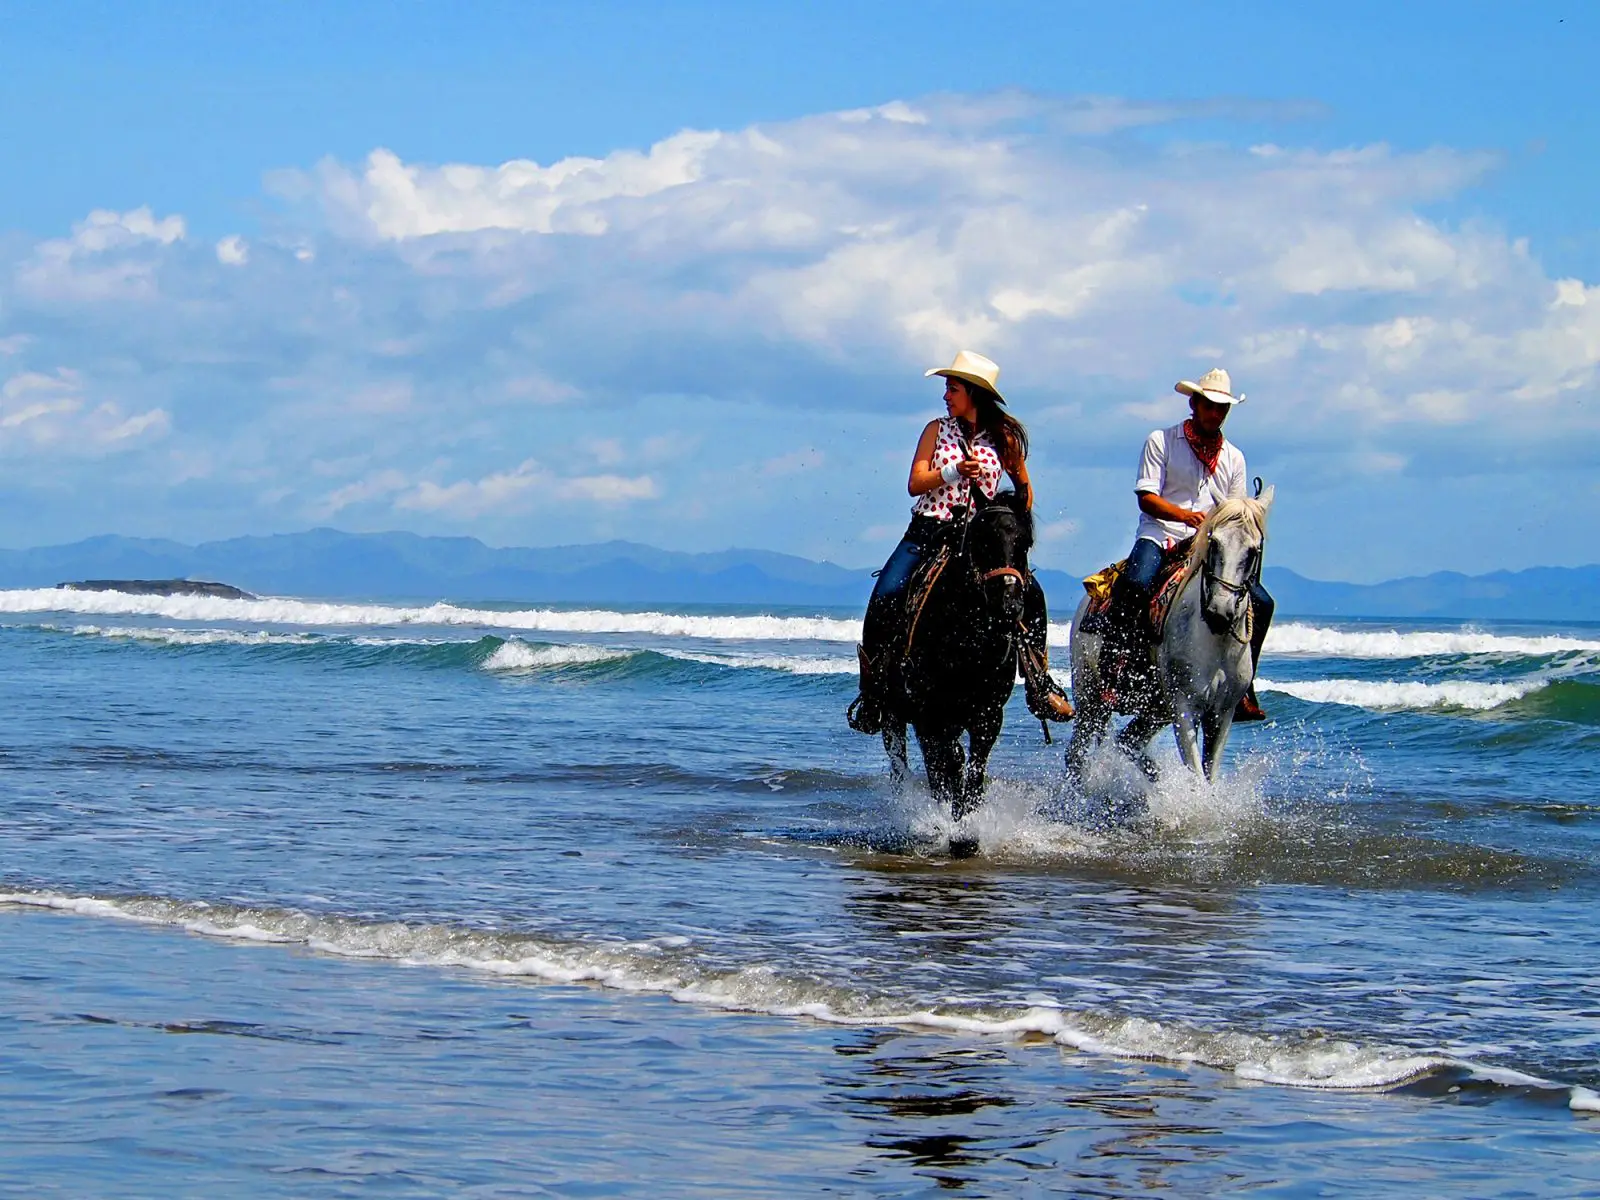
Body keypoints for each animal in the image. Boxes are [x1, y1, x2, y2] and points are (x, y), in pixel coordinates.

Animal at [876, 483, 1036, 857]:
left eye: (1024, 543)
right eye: (982, 540)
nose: (1009, 606)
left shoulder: (988, 714)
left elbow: (975, 767)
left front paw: (968, 829)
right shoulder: (933, 713)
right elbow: (951, 762)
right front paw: (956, 829)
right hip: (893, 715)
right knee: (904, 765)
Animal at [1068, 489, 1267, 790]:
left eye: (1253, 550)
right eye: (1214, 543)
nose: (1219, 612)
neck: (1215, 640)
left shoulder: (1222, 714)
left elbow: (1208, 777)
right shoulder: (1184, 708)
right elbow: (1197, 778)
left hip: (1154, 710)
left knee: (1126, 742)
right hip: (1090, 696)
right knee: (1076, 756)